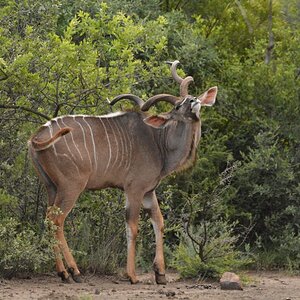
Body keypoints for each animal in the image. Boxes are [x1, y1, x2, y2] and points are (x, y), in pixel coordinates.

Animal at [28, 61, 218, 284]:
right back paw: (74, 272)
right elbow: (133, 227)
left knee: (49, 219)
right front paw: (133, 276)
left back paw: (63, 273)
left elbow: (159, 222)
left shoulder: (149, 191)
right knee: (56, 220)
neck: (158, 142)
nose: (194, 101)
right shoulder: (134, 189)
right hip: (71, 186)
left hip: (51, 187)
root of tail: (37, 137)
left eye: (193, 97)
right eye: (178, 106)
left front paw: (160, 274)